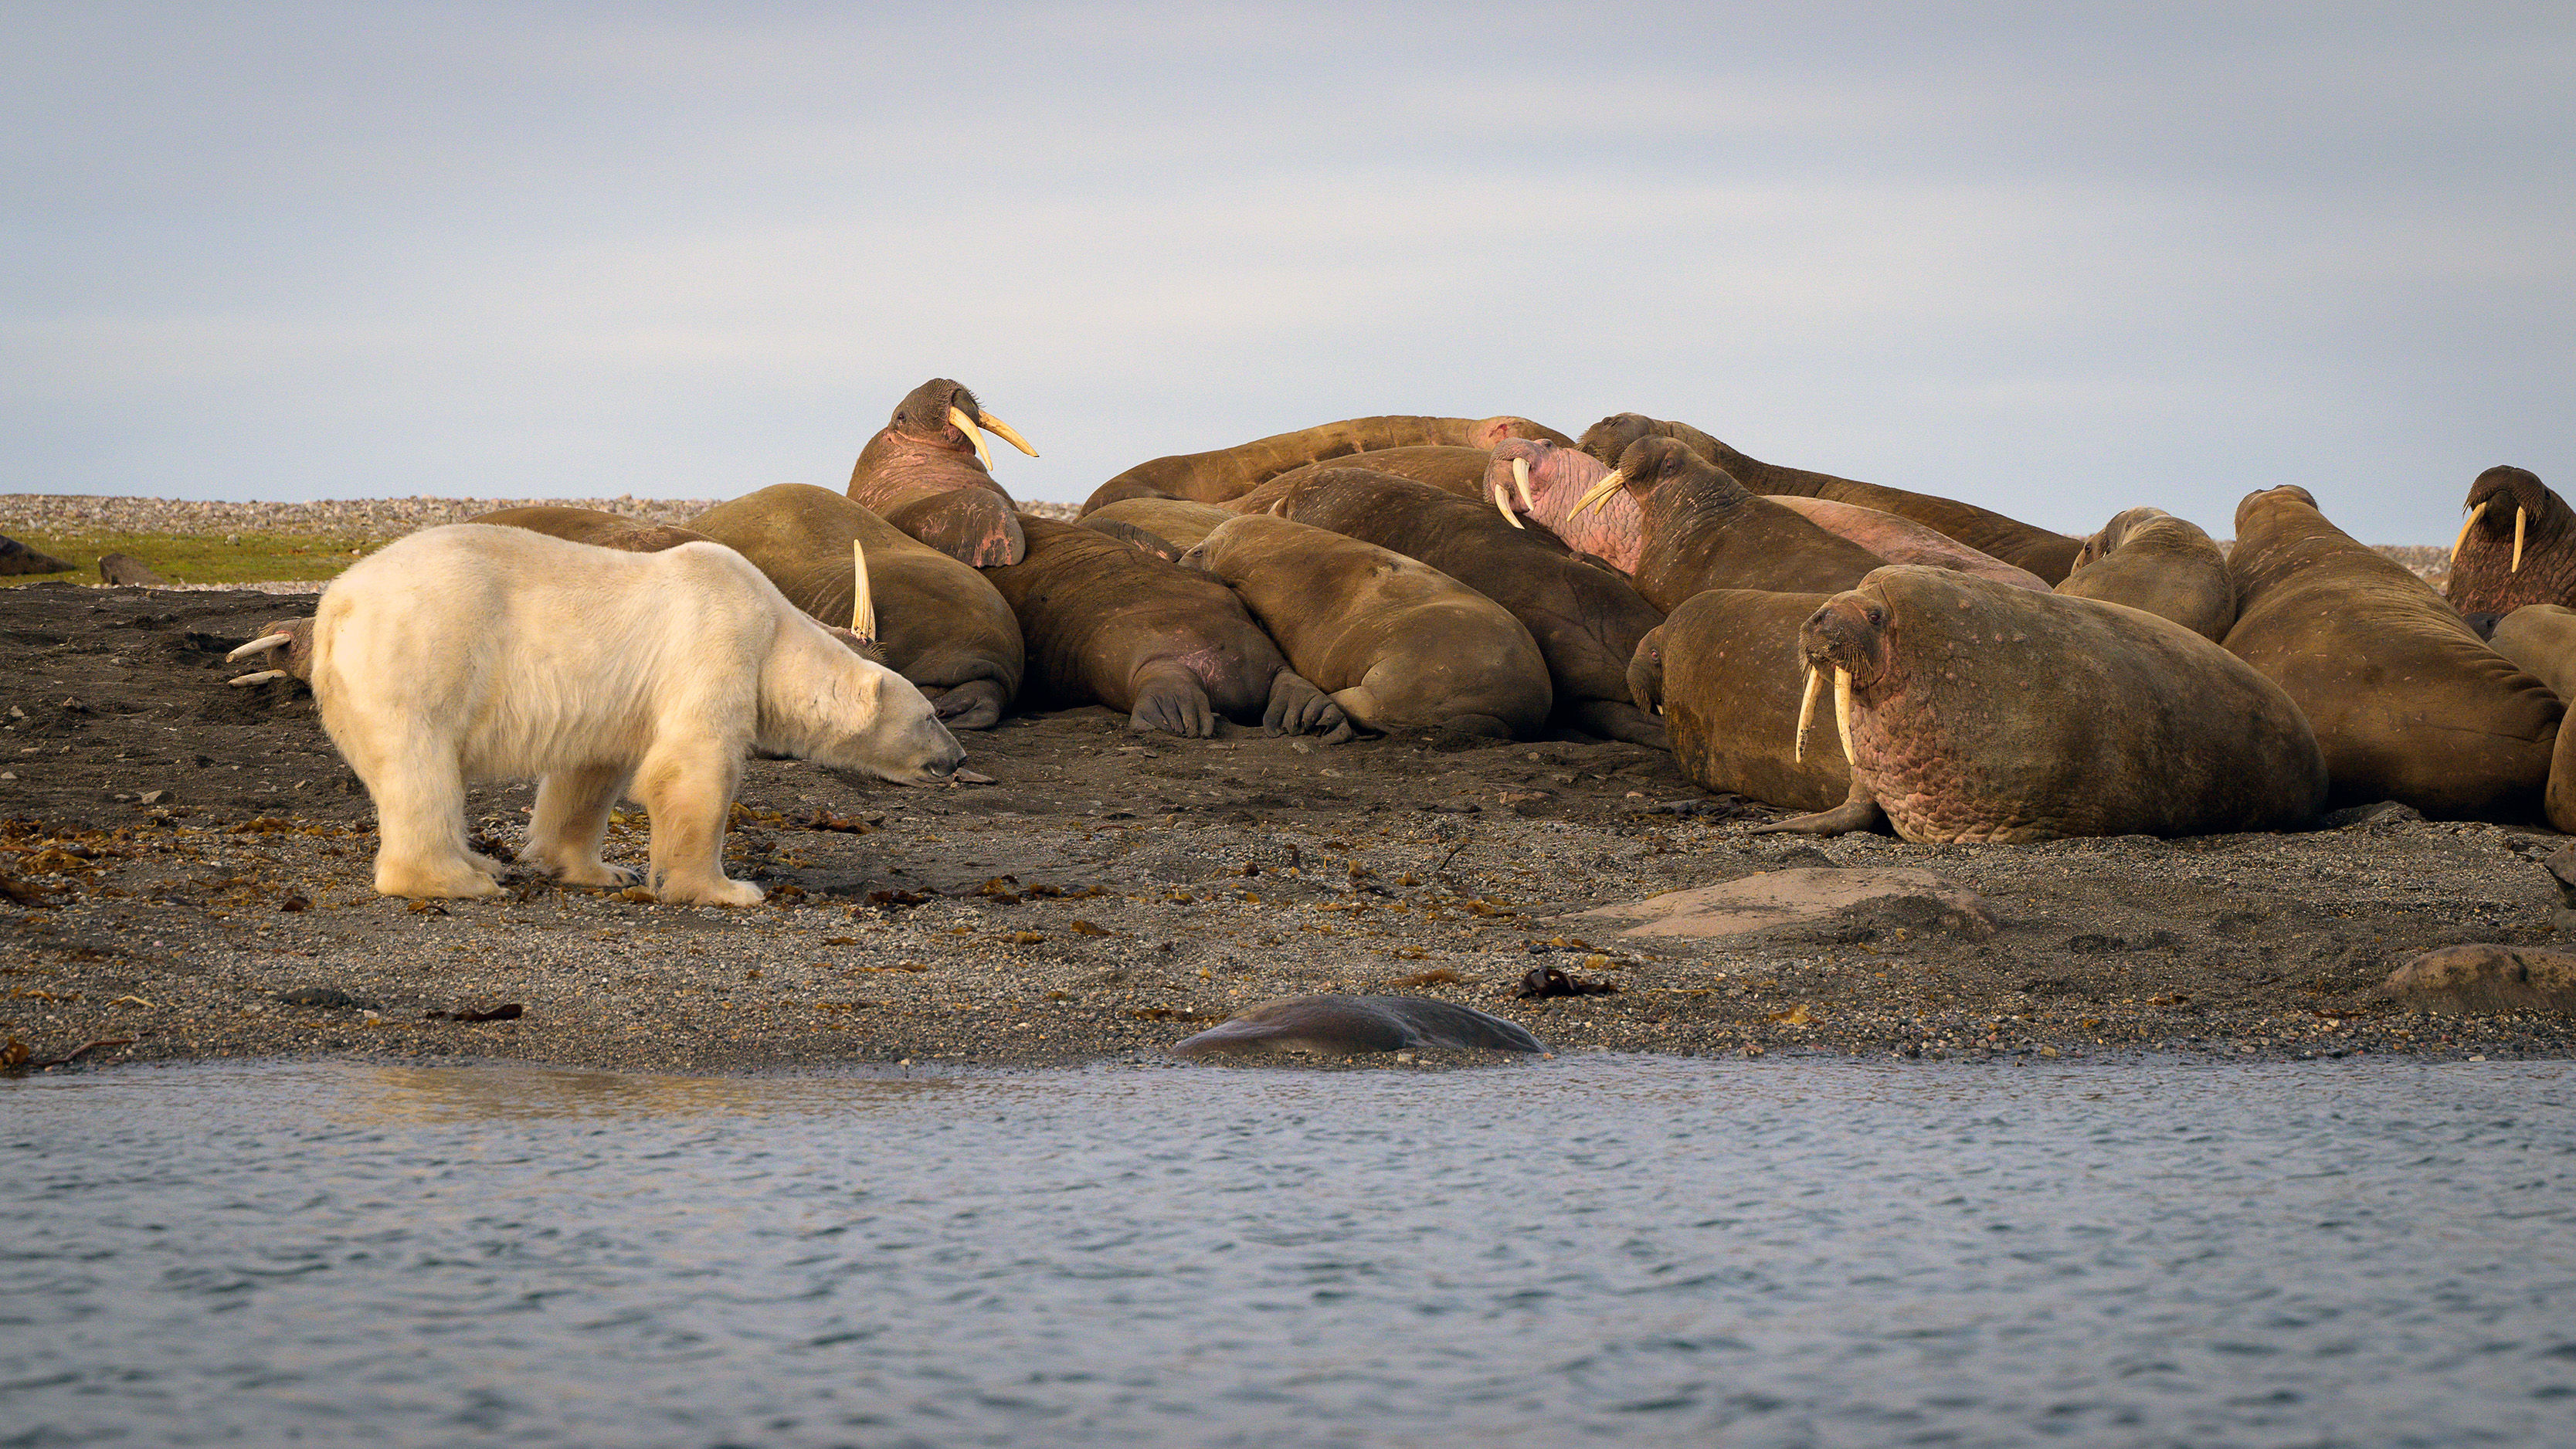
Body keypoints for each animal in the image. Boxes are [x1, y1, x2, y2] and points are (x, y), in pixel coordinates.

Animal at [310, 523, 964, 906]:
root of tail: (337, 601)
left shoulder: (612, 702)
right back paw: (459, 878)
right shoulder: (716, 641)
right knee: (419, 764)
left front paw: (599, 871)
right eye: (931, 716)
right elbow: (694, 766)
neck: (776, 631)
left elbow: (588, 775)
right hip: (422, 649)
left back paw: (479, 860)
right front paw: (725, 888)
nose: (958, 758)